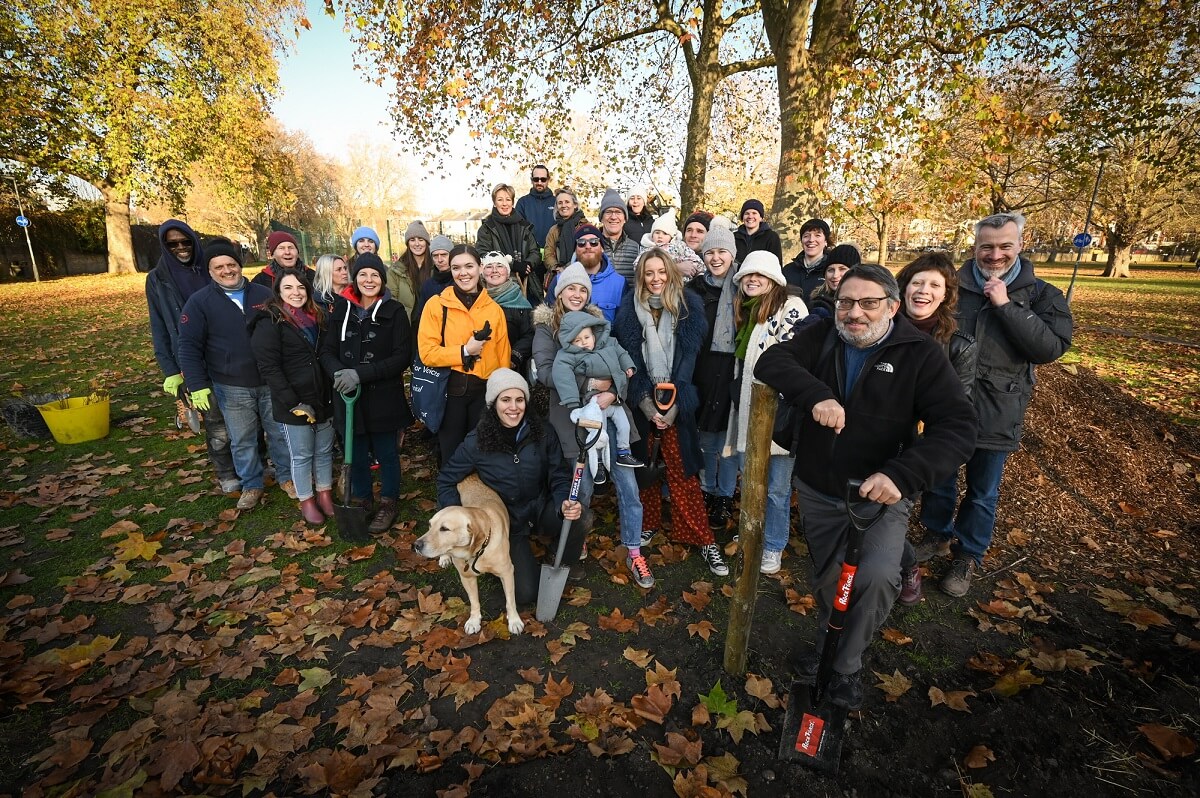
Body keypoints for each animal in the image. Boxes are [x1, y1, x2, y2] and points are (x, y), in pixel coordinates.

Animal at [415, 472, 523, 633]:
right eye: (430, 525)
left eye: (444, 529)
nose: (416, 545)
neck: (479, 551)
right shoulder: (466, 577)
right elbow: (474, 601)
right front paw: (474, 620)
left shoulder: (507, 572)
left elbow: (510, 600)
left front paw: (515, 621)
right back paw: (444, 558)